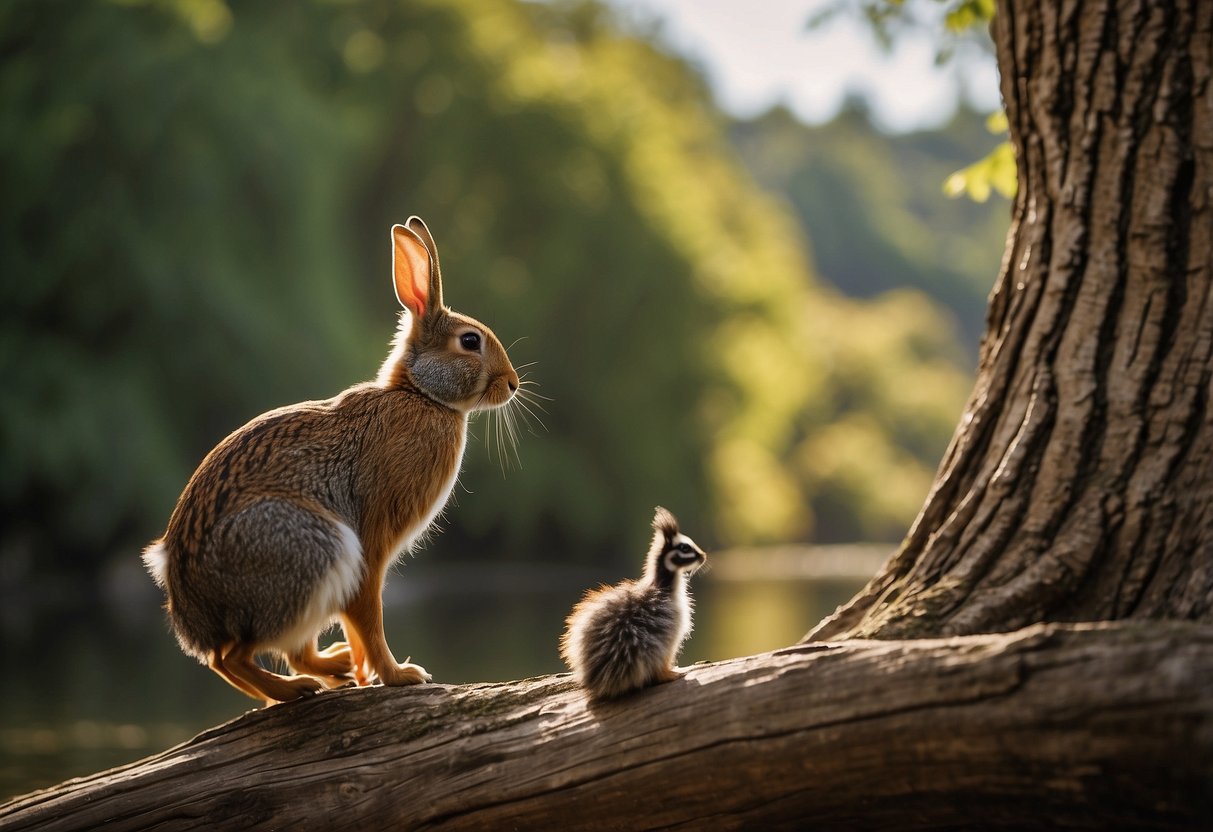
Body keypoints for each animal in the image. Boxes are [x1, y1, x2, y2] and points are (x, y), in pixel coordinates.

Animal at [141, 218, 521, 708]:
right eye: (470, 342)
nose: (513, 384)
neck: (421, 395)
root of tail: (191, 611)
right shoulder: (371, 546)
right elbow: (369, 613)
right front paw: (399, 676)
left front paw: (366, 672)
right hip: (311, 549)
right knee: (230, 658)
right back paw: (294, 689)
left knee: (265, 655)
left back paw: (330, 670)